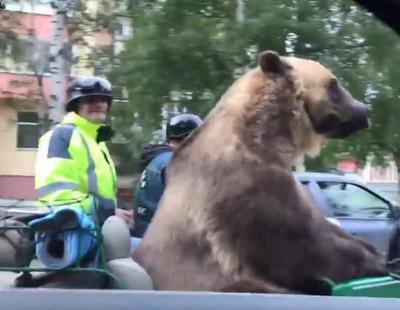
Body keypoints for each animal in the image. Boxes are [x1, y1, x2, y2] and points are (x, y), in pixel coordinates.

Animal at [134, 50, 388, 294]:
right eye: (333, 84)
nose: (364, 111)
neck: (262, 138)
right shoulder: (246, 188)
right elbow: (302, 244)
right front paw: (377, 261)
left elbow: (323, 226)